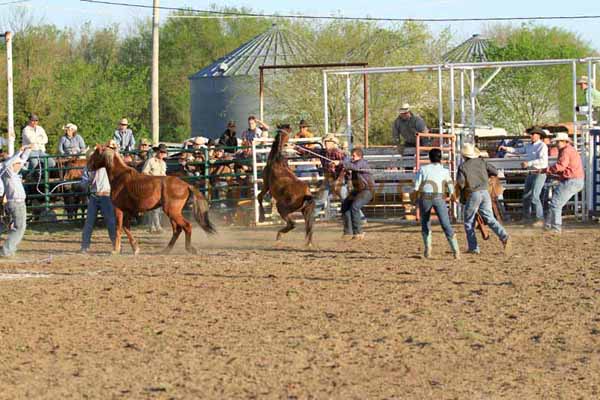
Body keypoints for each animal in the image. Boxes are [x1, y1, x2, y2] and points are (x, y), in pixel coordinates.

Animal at [85, 145, 214, 255]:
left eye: (95, 154)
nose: (88, 166)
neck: (120, 177)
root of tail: (186, 185)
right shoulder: (129, 211)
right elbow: (126, 228)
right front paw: (135, 248)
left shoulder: (118, 209)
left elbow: (118, 228)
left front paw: (115, 250)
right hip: (172, 213)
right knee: (177, 230)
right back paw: (166, 250)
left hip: (172, 212)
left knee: (187, 226)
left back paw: (190, 249)